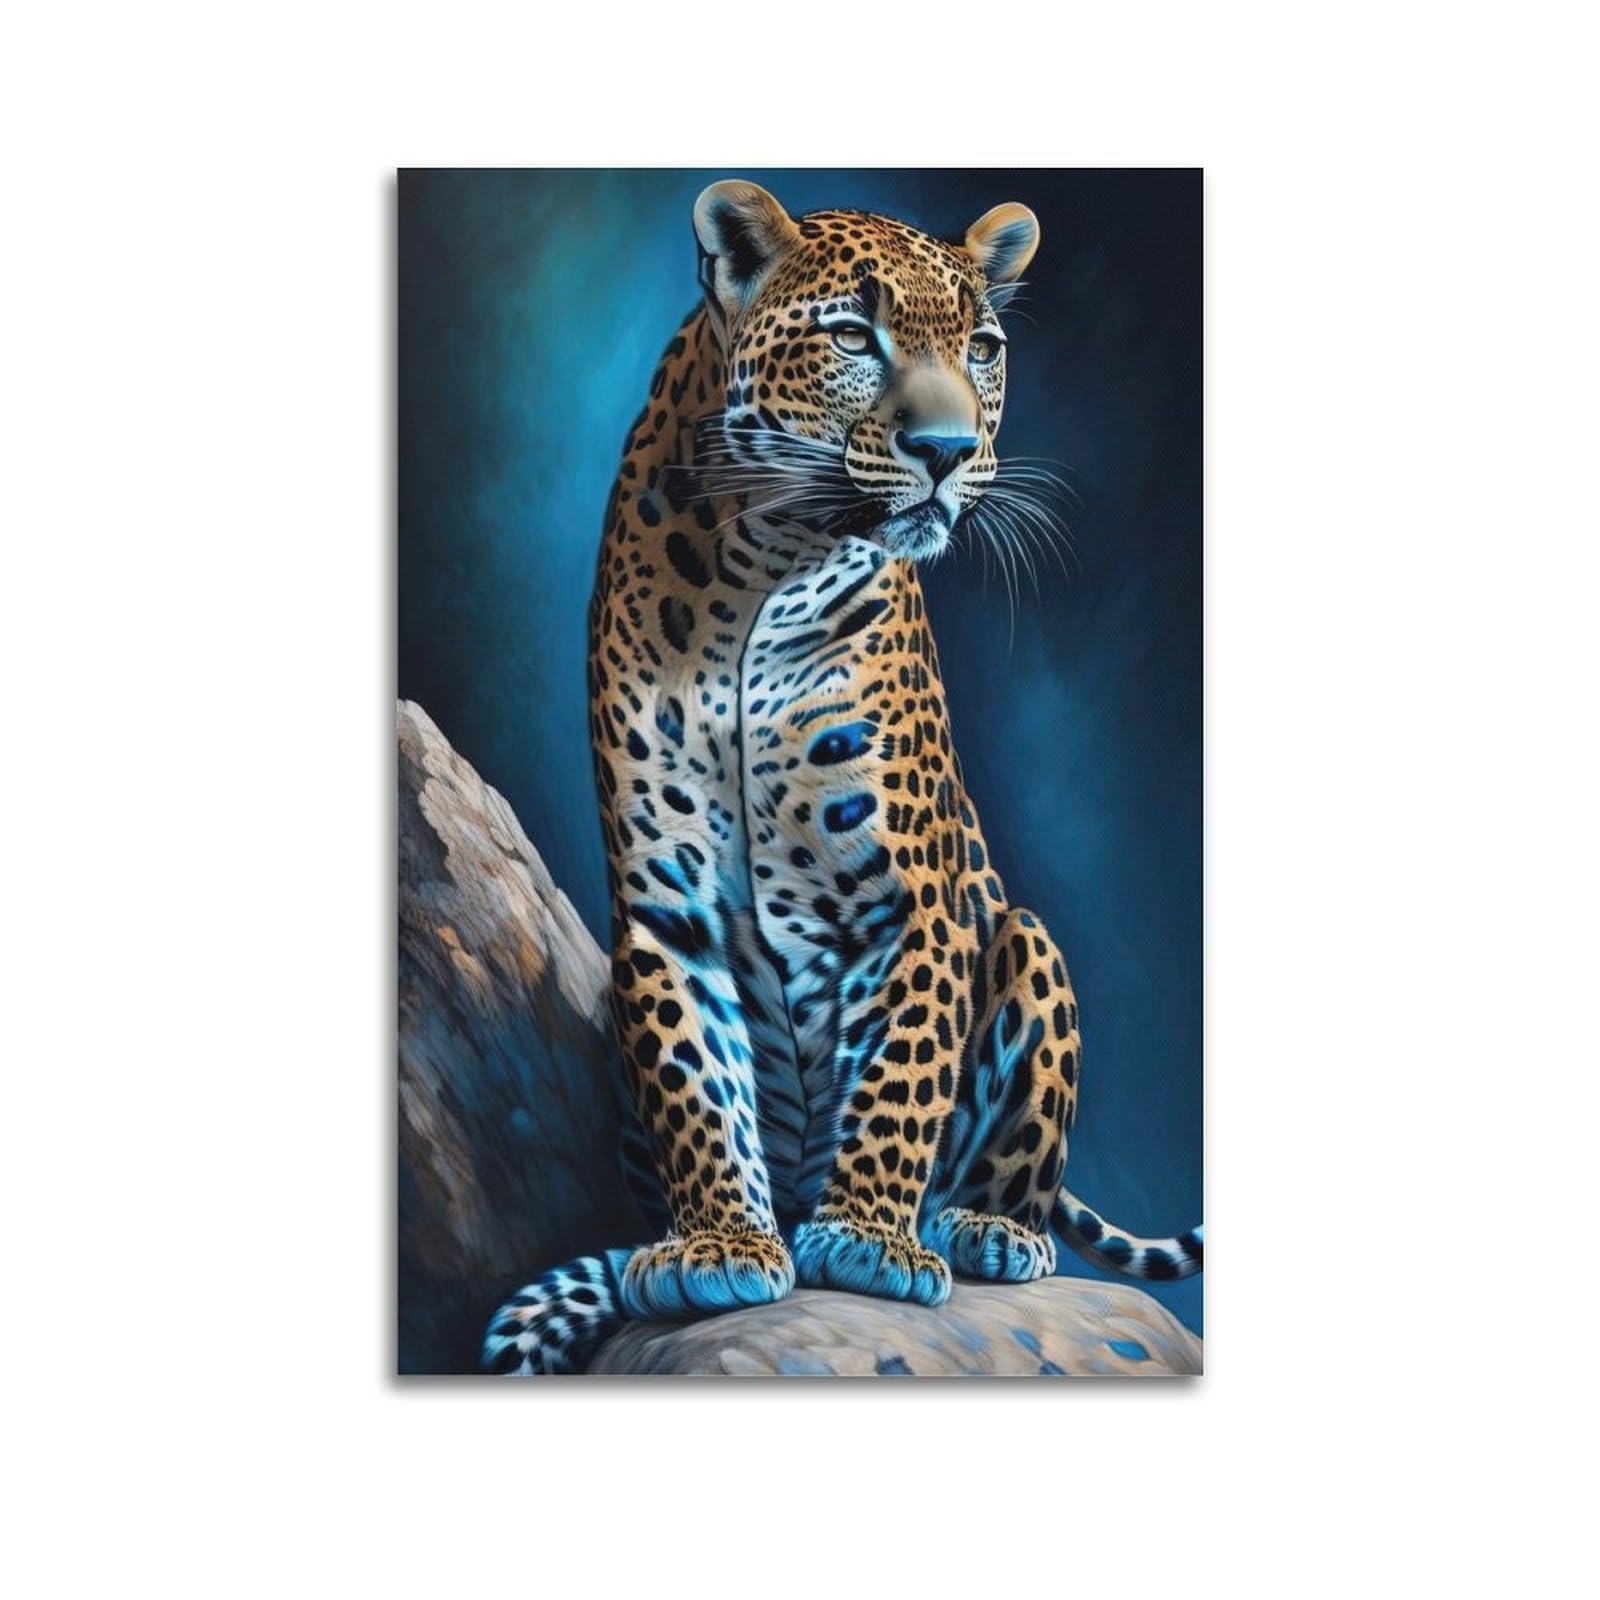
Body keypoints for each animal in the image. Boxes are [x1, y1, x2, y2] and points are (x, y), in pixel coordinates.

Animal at [482, 181, 1201, 1374]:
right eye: (854, 337)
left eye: (982, 348)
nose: (947, 449)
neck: (761, 565)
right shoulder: (665, 909)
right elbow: (694, 1076)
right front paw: (720, 1241)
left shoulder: (912, 903)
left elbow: (902, 1073)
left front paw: (867, 1238)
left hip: (1027, 937)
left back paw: (983, 1227)